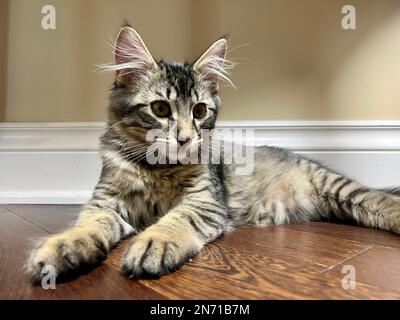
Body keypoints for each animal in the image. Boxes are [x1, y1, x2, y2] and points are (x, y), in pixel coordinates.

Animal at [25, 24, 400, 280]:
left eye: (200, 111)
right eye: (160, 109)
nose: (185, 138)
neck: (157, 170)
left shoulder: (205, 200)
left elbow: (175, 221)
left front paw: (154, 244)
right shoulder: (106, 203)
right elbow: (88, 225)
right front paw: (62, 249)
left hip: (338, 188)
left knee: (380, 200)